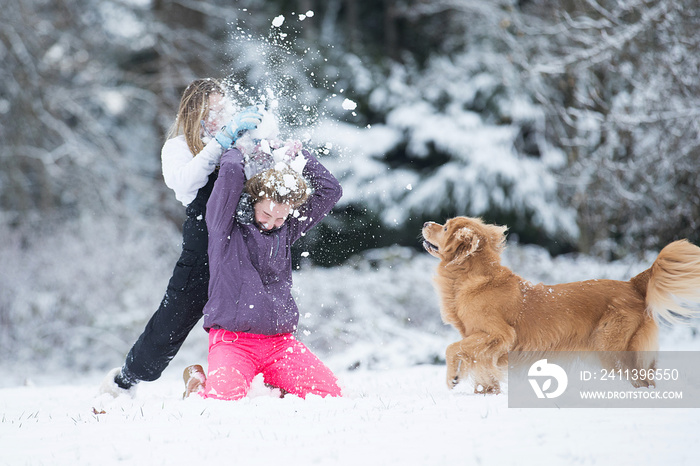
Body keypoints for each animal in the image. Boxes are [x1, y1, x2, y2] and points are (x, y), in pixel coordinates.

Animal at [422, 217, 700, 396]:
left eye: (445, 226)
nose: (425, 223)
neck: (474, 278)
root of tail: (633, 284)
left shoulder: (498, 334)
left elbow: (452, 348)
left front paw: (453, 378)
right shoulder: (480, 340)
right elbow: (476, 362)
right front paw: (485, 391)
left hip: (612, 349)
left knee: (642, 380)